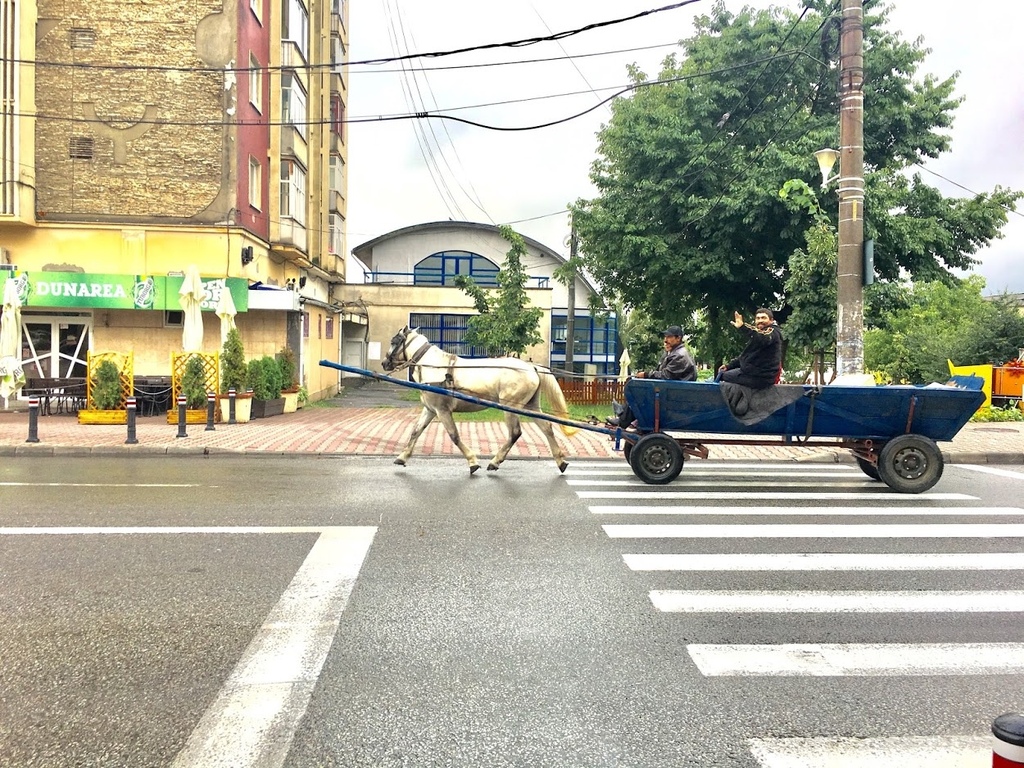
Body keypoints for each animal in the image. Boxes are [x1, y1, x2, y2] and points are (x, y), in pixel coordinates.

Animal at [382, 325, 581, 475]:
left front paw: (473, 462)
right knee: (547, 428)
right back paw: (560, 461)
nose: (385, 363)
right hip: (530, 405)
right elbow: (415, 432)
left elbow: (454, 435)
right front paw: (402, 457)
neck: (435, 368)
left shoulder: (442, 410)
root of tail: (531, 367)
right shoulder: (430, 410)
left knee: (515, 433)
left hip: (510, 407)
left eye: (394, 341)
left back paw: (495, 462)